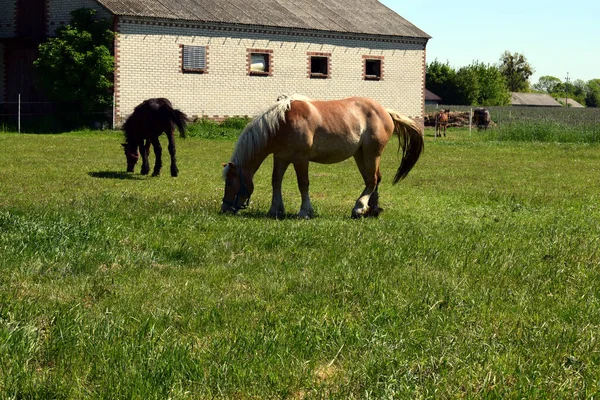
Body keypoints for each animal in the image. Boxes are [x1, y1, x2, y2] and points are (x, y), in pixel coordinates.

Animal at [219, 95, 422, 219]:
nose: (225, 209)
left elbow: (303, 184)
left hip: (372, 153)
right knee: (373, 180)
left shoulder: (300, 158)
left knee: (372, 180)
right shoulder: (281, 157)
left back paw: (358, 208)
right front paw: (275, 210)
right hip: (360, 154)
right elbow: (276, 181)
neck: (282, 123)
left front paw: (305, 211)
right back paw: (371, 210)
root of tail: (385, 111)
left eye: (231, 182)